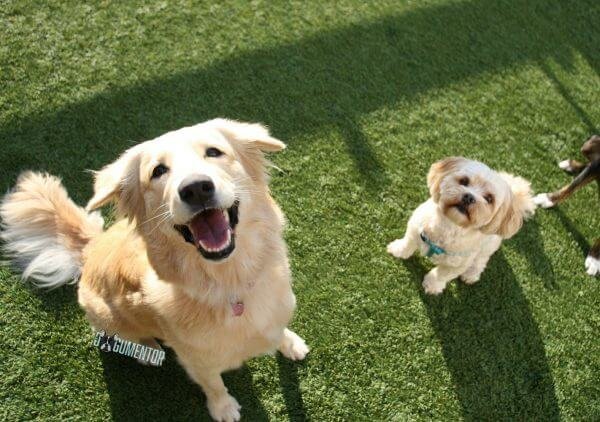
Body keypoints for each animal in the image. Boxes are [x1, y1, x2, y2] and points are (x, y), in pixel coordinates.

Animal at [0, 119, 309, 421]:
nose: (196, 188)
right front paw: (224, 409)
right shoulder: (196, 359)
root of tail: (91, 247)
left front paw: (290, 343)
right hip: (107, 316)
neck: (230, 283)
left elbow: (278, 329)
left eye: (214, 152)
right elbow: (214, 385)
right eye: (158, 171)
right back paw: (147, 349)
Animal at [387, 157, 535, 294]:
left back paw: (471, 275)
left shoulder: (458, 265)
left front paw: (432, 286)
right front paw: (398, 250)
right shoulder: (415, 227)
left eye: (489, 198)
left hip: (488, 247)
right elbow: (408, 242)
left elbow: (441, 274)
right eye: (464, 181)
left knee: (481, 261)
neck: (450, 225)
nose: (469, 197)